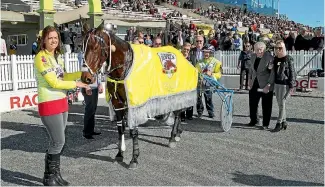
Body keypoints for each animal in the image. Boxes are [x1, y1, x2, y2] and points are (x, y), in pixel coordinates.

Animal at [80, 22, 197, 169]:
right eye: (82, 47)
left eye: (95, 47)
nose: (86, 78)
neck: (126, 66)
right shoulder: (117, 103)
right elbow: (120, 128)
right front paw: (120, 154)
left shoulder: (134, 103)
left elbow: (133, 131)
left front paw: (134, 158)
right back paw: (177, 133)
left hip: (178, 93)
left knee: (177, 114)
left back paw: (172, 137)